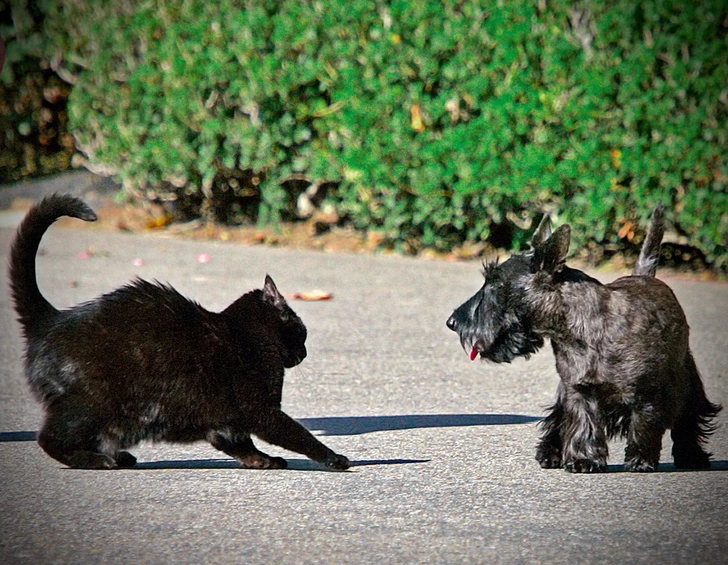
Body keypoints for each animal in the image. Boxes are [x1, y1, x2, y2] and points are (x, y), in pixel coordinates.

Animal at [8, 192, 350, 470]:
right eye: (301, 331)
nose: (304, 353)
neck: (247, 334)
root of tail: (52, 319)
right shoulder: (261, 410)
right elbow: (298, 435)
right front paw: (334, 458)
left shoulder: (225, 421)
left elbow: (236, 443)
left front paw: (261, 461)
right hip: (90, 404)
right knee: (48, 438)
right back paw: (96, 460)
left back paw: (117, 456)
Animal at [450, 207, 724, 472]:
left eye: (495, 283)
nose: (452, 322)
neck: (578, 332)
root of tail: (646, 275)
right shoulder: (577, 391)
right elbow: (583, 424)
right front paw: (584, 460)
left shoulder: (648, 392)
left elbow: (644, 423)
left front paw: (640, 460)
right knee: (556, 422)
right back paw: (549, 455)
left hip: (687, 378)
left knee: (689, 418)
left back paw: (692, 456)